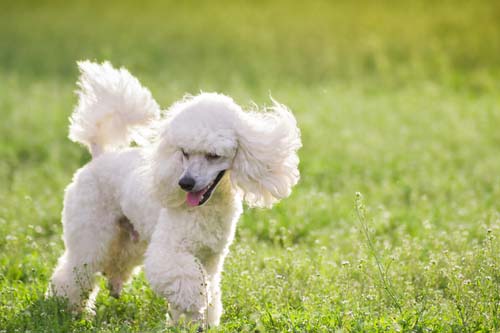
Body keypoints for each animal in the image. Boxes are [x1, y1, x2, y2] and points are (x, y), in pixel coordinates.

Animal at [47, 61, 300, 326]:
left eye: (213, 155)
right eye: (184, 153)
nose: (185, 183)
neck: (207, 208)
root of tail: (99, 157)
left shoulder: (210, 258)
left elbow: (209, 290)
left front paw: (195, 323)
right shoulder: (171, 250)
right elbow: (190, 285)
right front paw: (195, 303)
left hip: (129, 236)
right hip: (90, 231)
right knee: (76, 268)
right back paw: (66, 308)